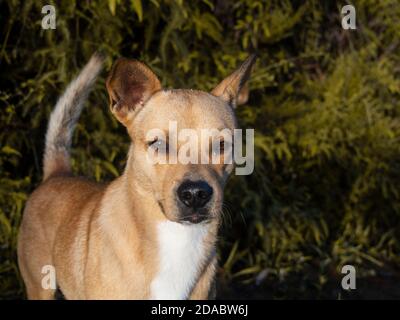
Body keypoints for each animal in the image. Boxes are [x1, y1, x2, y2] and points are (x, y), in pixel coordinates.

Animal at [17, 52, 256, 300]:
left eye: (222, 145)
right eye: (158, 144)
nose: (195, 194)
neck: (176, 239)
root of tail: (57, 174)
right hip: (40, 286)